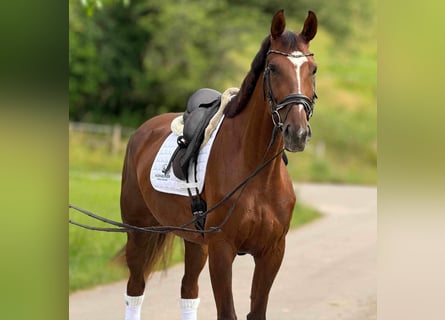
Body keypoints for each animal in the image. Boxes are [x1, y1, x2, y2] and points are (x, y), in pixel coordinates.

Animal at [119, 8, 318, 318]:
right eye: (273, 68)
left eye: (313, 70)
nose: (296, 133)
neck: (256, 174)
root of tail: (142, 131)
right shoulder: (222, 250)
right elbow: (228, 312)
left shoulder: (272, 252)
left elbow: (256, 311)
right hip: (139, 234)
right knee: (135, 290)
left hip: (194, 242)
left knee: (188, 291)